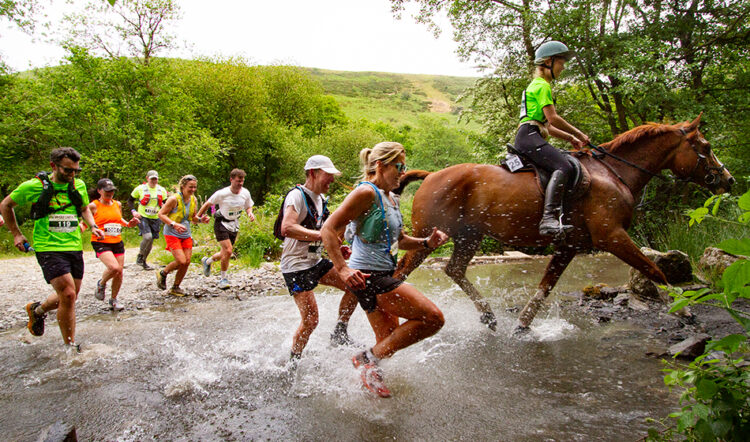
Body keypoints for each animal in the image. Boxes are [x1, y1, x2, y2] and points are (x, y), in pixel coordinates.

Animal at [396, 115, 736, 334]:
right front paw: (686, 310)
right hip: (429, 238)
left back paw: (489, 316)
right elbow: (655, 271)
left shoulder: (569, 244)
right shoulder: (612, 236)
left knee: (454, 269)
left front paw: (523, 325)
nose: (728, 180)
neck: (613, 173)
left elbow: (545, 287)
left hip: (469, 235)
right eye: (705, 147)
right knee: (400, 274)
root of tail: (431, 176)